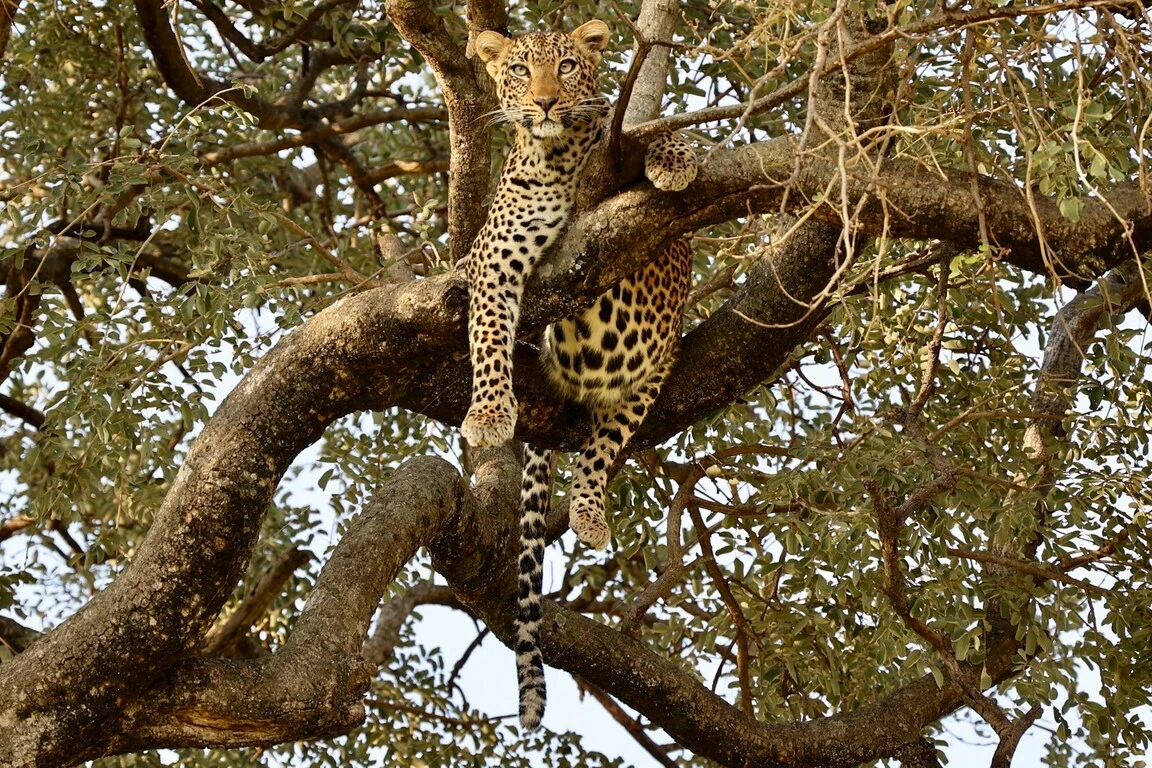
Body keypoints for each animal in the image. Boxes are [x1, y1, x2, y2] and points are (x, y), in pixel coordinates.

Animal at [462, 19, 698, 730]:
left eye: (567, 66)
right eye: (518, 69)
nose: (543, 103)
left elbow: (650, 136)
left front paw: (674, 158)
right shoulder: (492, 259)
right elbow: (488, 338)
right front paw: (489, 414)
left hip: (657, 366)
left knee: (603, 447)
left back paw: (591, 511)